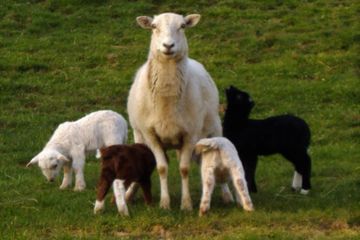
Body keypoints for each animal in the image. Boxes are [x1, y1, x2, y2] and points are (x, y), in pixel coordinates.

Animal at [126, 12, 222, 210]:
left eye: (182, 26)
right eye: (154, 26)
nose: (168, 45)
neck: (167, 100)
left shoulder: (190, 134)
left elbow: (184, 169)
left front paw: (186, 204)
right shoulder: (151, 134)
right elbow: (162, 168)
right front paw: (164, 203)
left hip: (214, 128)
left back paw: (227, 195)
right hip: (139, 134)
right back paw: (129, 194)